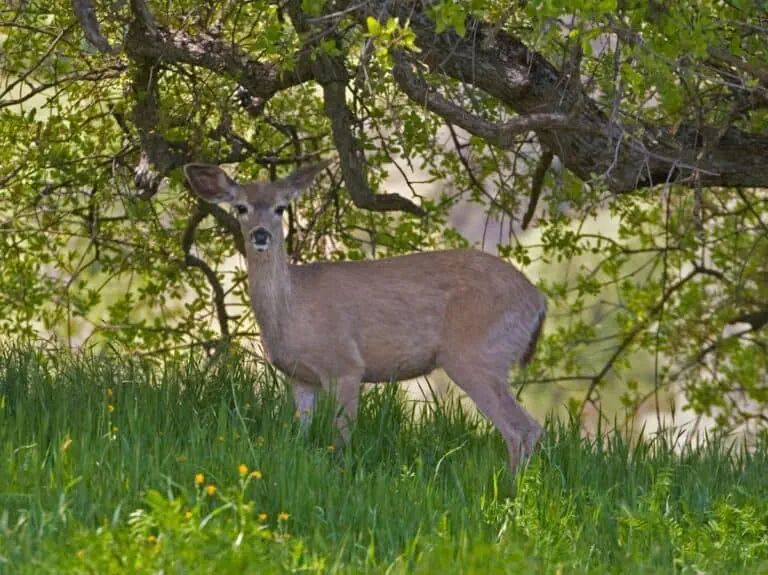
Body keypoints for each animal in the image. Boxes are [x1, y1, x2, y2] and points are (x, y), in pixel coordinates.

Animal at [183, 159, 547, 474]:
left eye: (280, 207)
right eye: (240, 207)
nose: (261, 234)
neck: (290, 310)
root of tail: (538, 300)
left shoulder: (344, 364)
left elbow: (342, 435)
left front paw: (341, 475)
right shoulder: (300, 378)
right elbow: (299, 436)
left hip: (477, 353)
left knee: (522, 428)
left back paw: (509, 494)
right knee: (528, 428)